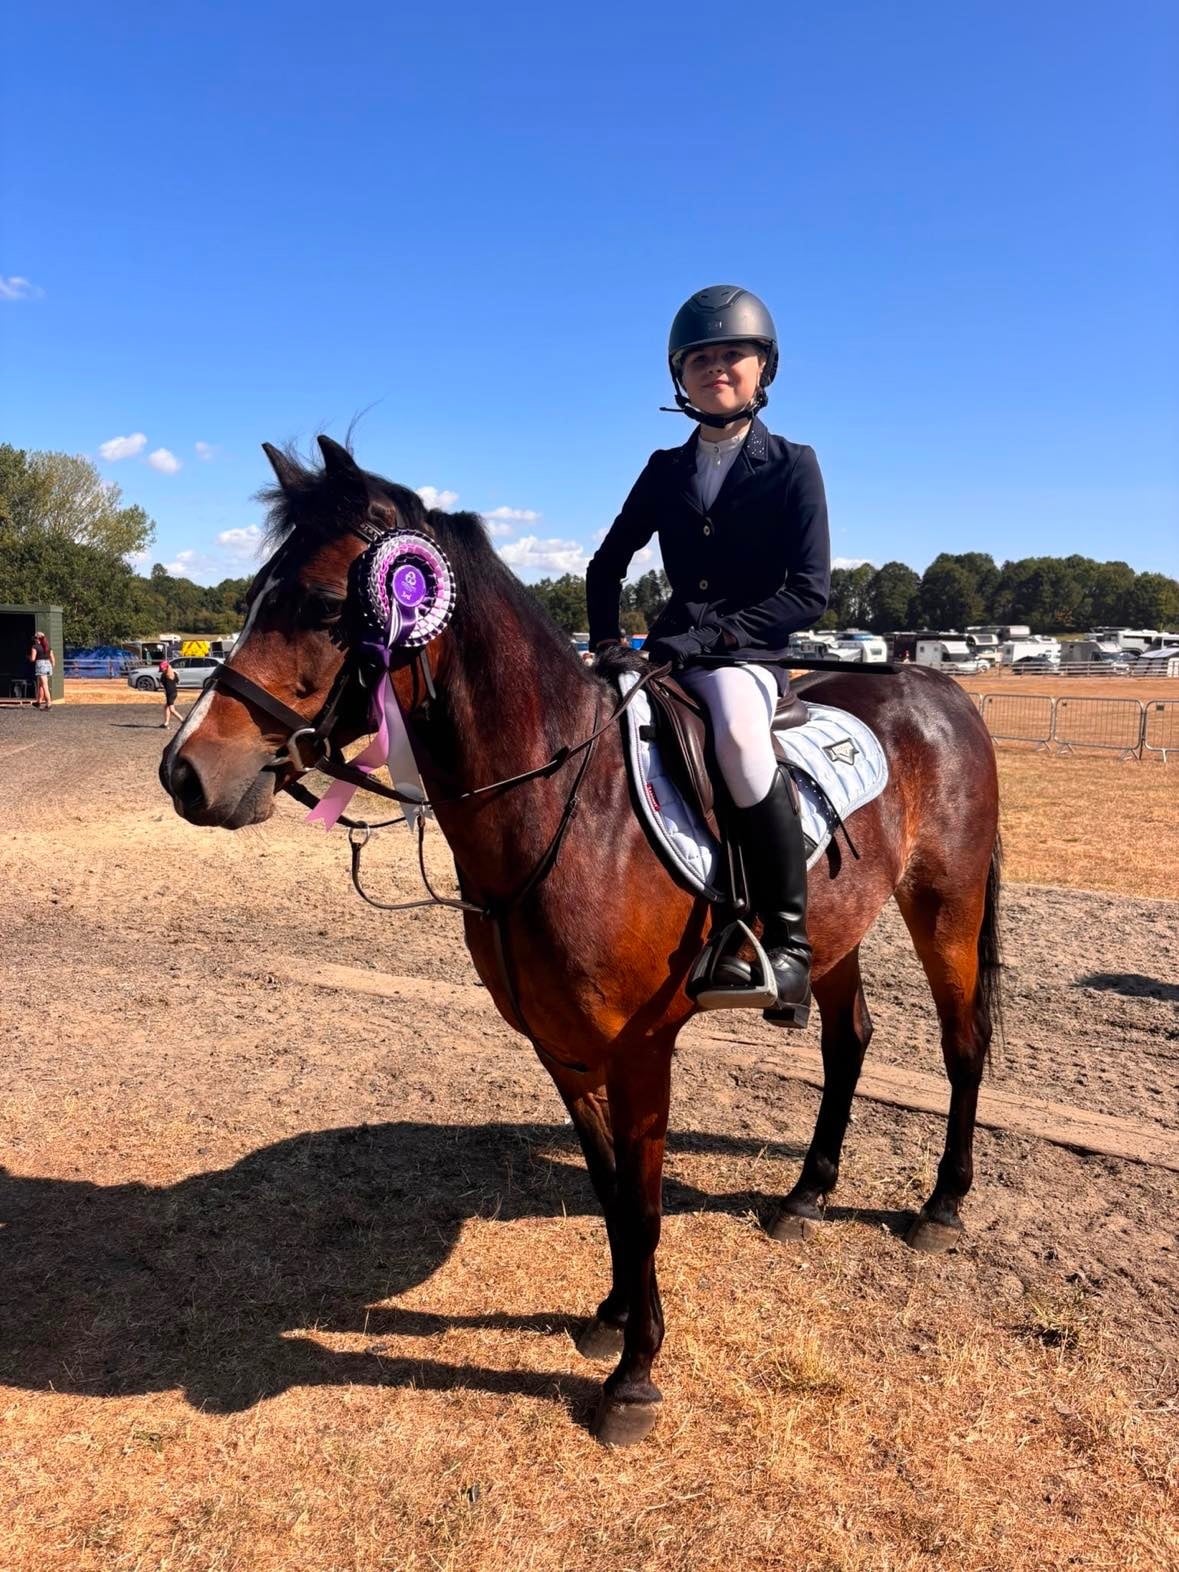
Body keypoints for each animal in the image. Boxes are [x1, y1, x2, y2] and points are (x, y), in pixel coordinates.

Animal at [160, 436, 1002, 1447]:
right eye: (251, 598)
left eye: (325, 608)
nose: (186, 774)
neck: (563, 804)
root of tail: (936, 687)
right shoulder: (561, 1050)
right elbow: (608, 1194)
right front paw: (610, 1319)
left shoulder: (642, 1051)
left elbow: (642, 1204)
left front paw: (634, 1378)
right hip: (841, 930)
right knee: (849, 1042)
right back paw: (805, 1195)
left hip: (945, 904)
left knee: (962, 1044)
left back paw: (940, 1207)